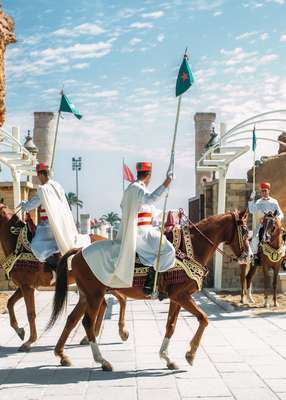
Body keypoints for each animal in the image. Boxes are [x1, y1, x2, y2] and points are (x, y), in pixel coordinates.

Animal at [0, 205, 127, 352]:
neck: (18, 245)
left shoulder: (27, 287)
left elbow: (30, 313)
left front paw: (29, 341)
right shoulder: (24, 286)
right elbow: (10, 303)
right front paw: (20, 331)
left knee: (121, 298)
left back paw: (121, 332)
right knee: (106, 304)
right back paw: (92, 335)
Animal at [48, 211, 250, 370]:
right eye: (246, 231)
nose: (249, 256)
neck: (191, 246)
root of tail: (79, 251)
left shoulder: (177, 298)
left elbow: (171, 326)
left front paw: (167, 358)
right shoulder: (182, 296)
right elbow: (204, 318)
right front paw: (190, 353)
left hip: (86, 296)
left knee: (72, 319)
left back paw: (62, 355)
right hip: (94, 295)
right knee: (87, 323)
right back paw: (102, 361)